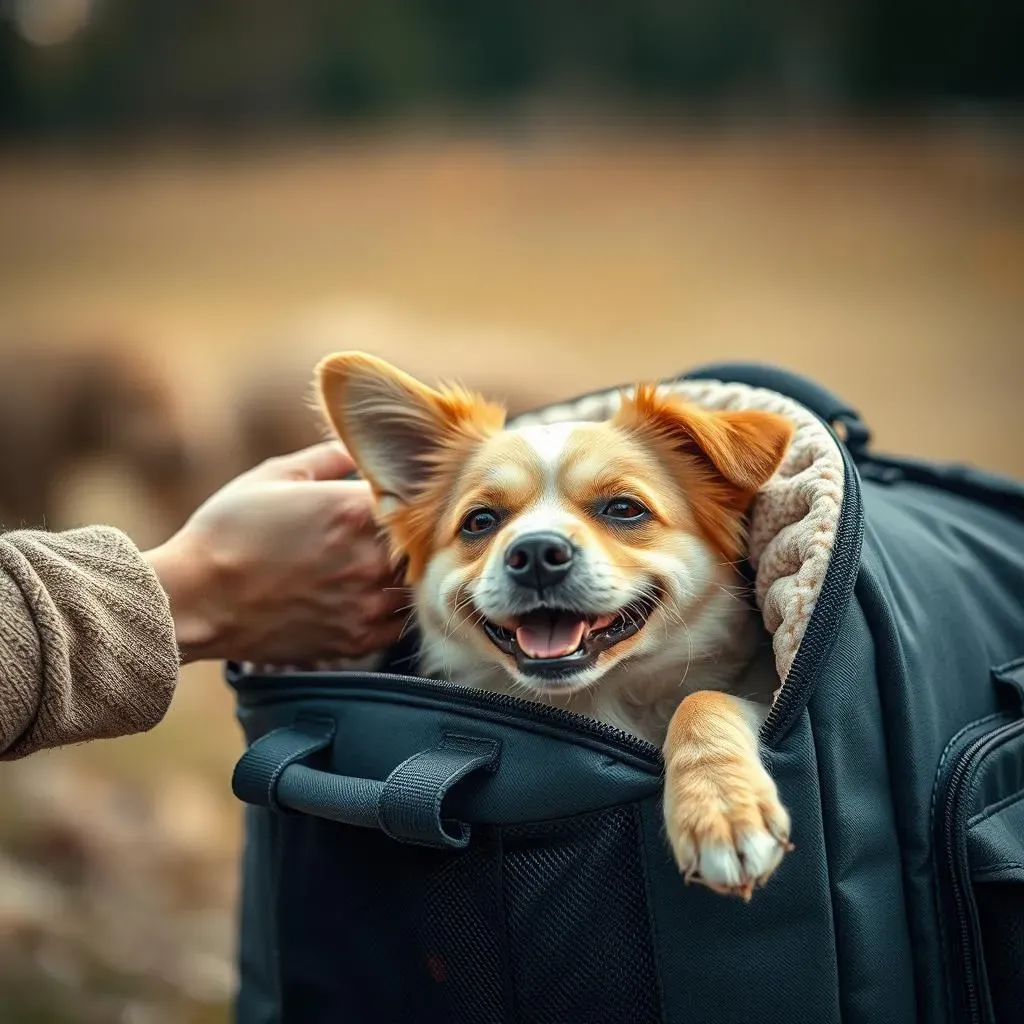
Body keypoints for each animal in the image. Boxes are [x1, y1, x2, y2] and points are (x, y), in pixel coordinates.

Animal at [315, 356, 794, 901]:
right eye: (480, 521)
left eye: (624, 509)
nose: (536, 552)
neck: (596, 699)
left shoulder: (765, 694)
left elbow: (702, 699)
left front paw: (721, 806)